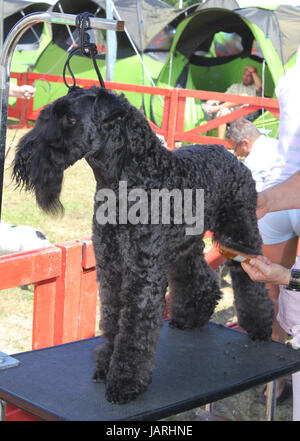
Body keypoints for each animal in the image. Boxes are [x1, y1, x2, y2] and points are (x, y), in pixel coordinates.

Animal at [12, 85, 274, 402]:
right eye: (47, 114)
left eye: (70, 119)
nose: (25, 156)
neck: (128, 179)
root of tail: (231, 157)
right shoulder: (111, 268)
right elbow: (113, 319)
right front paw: (105, 366)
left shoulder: (142, 273)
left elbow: (134, 326)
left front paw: (125, 382)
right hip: (185, 247)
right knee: (198, 276)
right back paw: (191, 315)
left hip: (241, 236)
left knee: (250, 282)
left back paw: (260, 327)